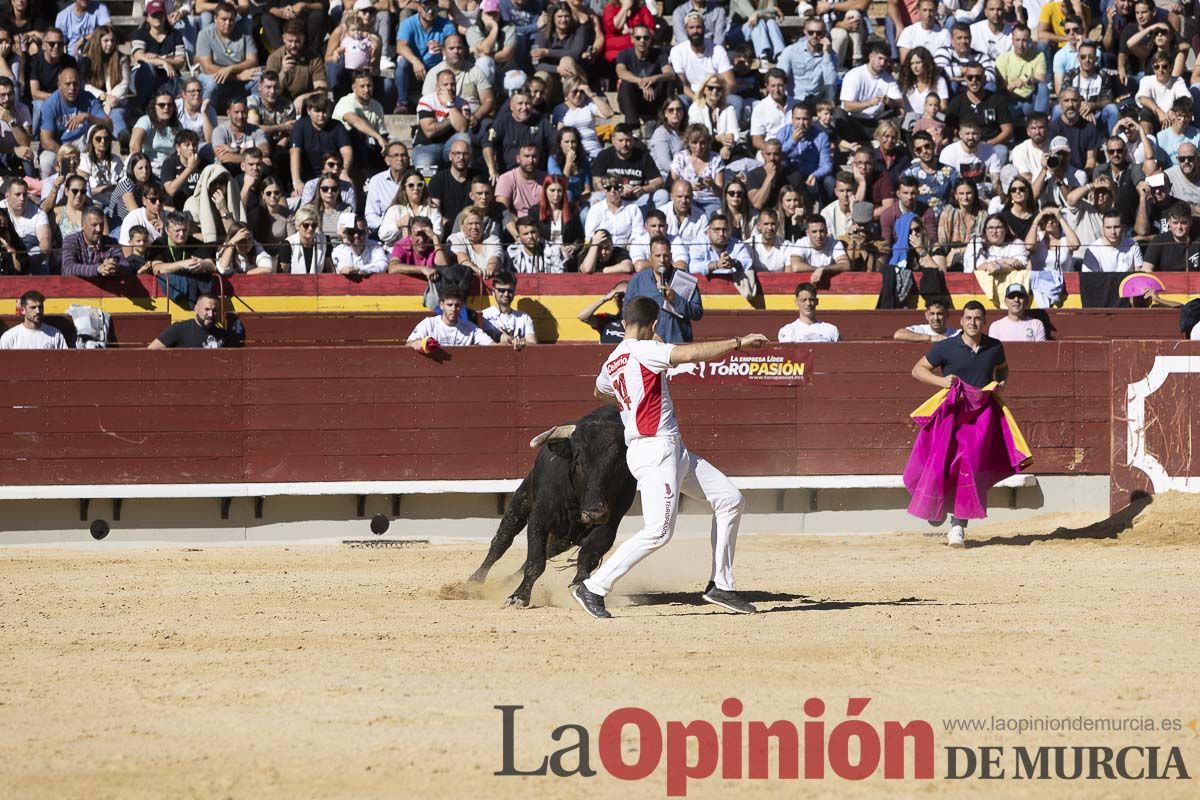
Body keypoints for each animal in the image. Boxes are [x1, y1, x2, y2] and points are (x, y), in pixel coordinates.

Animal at [465, 407, 638, 606]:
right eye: (578, 463)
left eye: (619, 465)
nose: (594, 512)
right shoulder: (539, 518)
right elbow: (535, 562)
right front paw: (518, 597)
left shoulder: (608, 526)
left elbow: (587, 556)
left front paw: (580, 587)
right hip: (521, 501)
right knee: (501, 542)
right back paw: (473, 583)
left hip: (564, 539)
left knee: (547, 551)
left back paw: (506, 581)